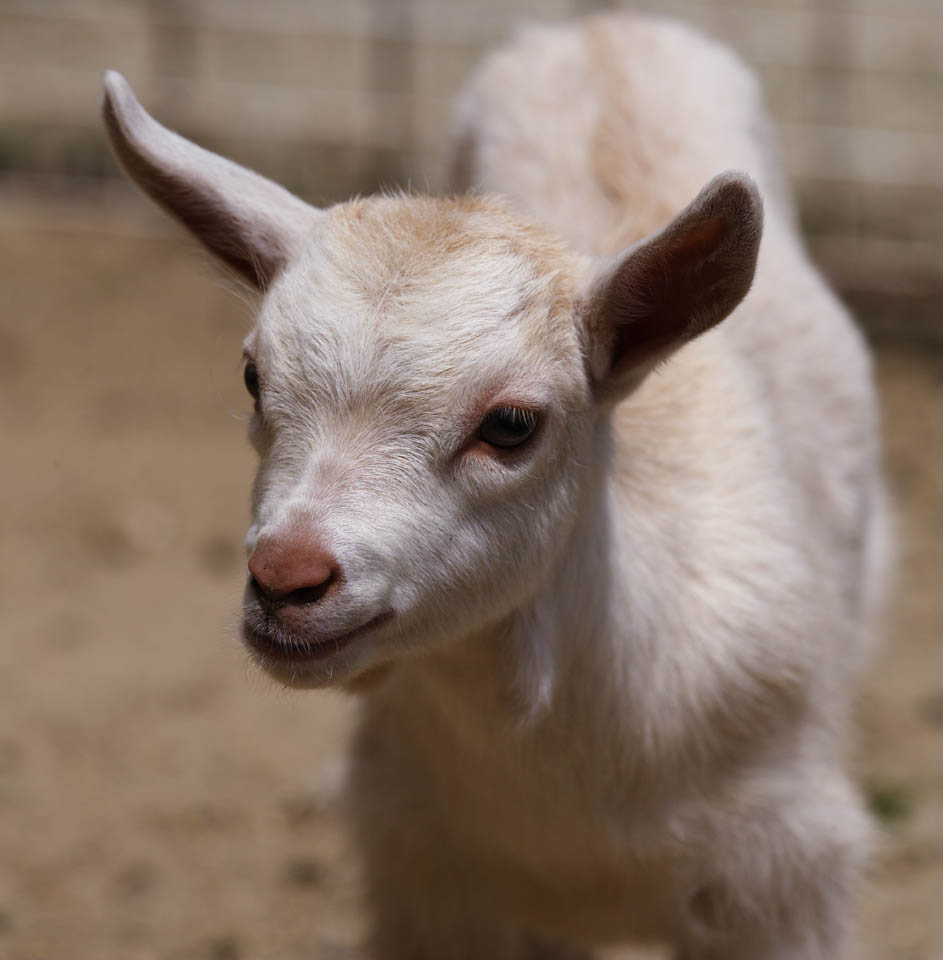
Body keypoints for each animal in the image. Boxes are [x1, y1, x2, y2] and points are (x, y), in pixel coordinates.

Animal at [103, 11, 892, 956]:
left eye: (511, 425)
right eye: (254, 377)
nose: (286, 577)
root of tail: (603, 25)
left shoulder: (782, 874)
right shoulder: (427, 872)